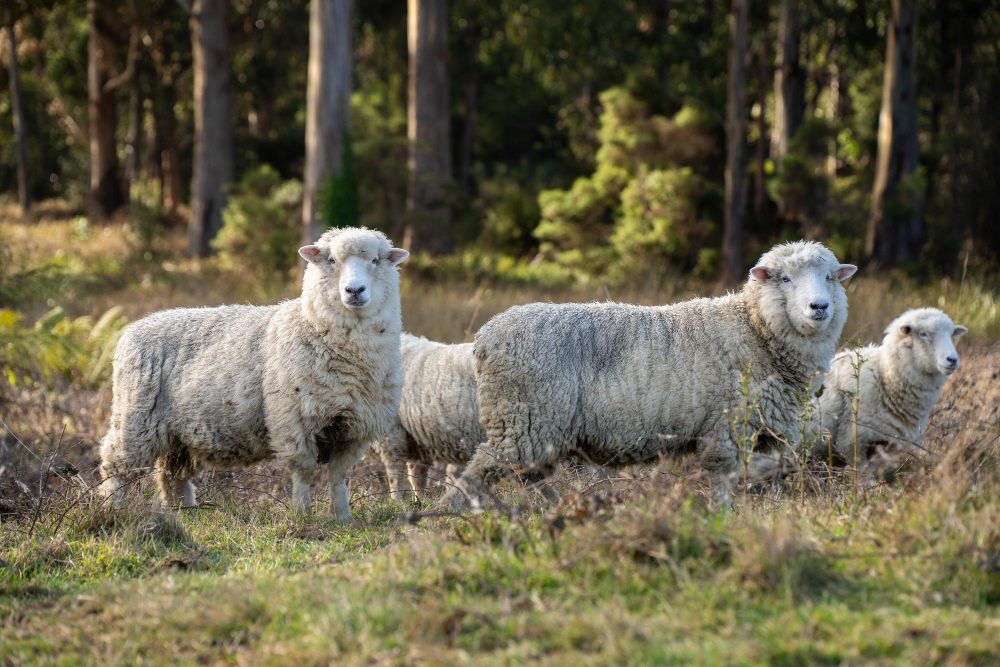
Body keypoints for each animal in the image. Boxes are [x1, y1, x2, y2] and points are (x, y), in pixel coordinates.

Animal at [98, 227, 410, 520]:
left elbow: (337, 477)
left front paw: (343, 518)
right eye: (332, 260)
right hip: (136, 418)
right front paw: (302, 515)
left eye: (375, 260)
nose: (354, 291)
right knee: (116, 466)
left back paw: (183, 514)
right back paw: (113, 508)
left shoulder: (354, 427)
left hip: (179, 433)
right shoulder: (293, 421)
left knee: (172, 475)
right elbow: (303, 474)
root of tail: (135, 326)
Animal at [442, 243, 856, 508]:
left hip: (534, 425)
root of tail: (484, 338)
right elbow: (723, 483)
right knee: (481, 470)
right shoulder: (724, 427)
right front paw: (723, 517)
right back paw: (449, 515)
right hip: (522, 417)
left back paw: (560, 507)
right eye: (785, 279)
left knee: (532, 473)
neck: (753, 327)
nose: (819, 306)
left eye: (830, 277)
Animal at [812, 310, 968, 474]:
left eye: (951, 334)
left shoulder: (889, 442)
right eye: (923, 334)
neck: (884, 374)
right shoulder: (852, 439)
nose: (952, 360)